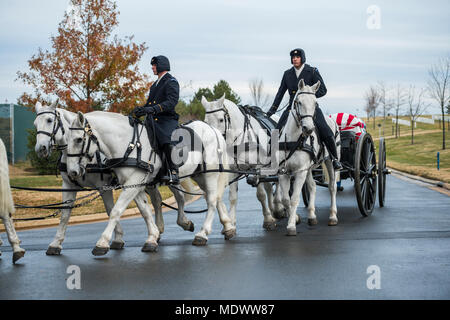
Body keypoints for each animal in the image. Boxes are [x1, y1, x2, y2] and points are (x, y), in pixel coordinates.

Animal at [67, 110, 236, 255]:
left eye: (79, 139)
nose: (72, 172)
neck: (128, 145)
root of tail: (212, 129)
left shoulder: (132, 184)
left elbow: (116, 211)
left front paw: (102, 243)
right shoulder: (135, 185)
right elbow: (145, 210)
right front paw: (152, 238)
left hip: (211, 174)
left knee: (212, 200)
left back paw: (203, 234)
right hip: (199, 175)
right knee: (214, 198)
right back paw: (227, 227)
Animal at [201, 94, 282, 230]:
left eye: (221, 120)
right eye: (206, 122)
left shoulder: (256, 168)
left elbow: (261, 194)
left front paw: (268, 220)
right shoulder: (233, 170)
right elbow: (233, 197)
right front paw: (231, 224)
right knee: (270, 187)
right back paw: (274, 210)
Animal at [276, 79, 340, 235]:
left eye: (315, 103)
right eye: (298, 102)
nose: (309, 129)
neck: (293, 139)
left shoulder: (300, 172)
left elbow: (294, 198)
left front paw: (291, 226)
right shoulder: (284, 172)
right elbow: (286, 199)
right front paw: (295, 219)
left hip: (330, 161)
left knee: (332, 187)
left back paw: (333, 216)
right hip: (309, 168)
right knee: (312, 186)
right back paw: (311, 216)